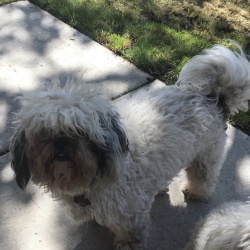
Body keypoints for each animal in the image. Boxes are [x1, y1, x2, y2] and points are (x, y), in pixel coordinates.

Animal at [9, 43, 250, 248]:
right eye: (44, 132)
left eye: (81, 133)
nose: (61, 141)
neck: (92, 179)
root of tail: (210, 98)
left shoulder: (130, 216)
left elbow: (131, 236)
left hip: (206, 156)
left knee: (203, 177)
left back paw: (196, 192)